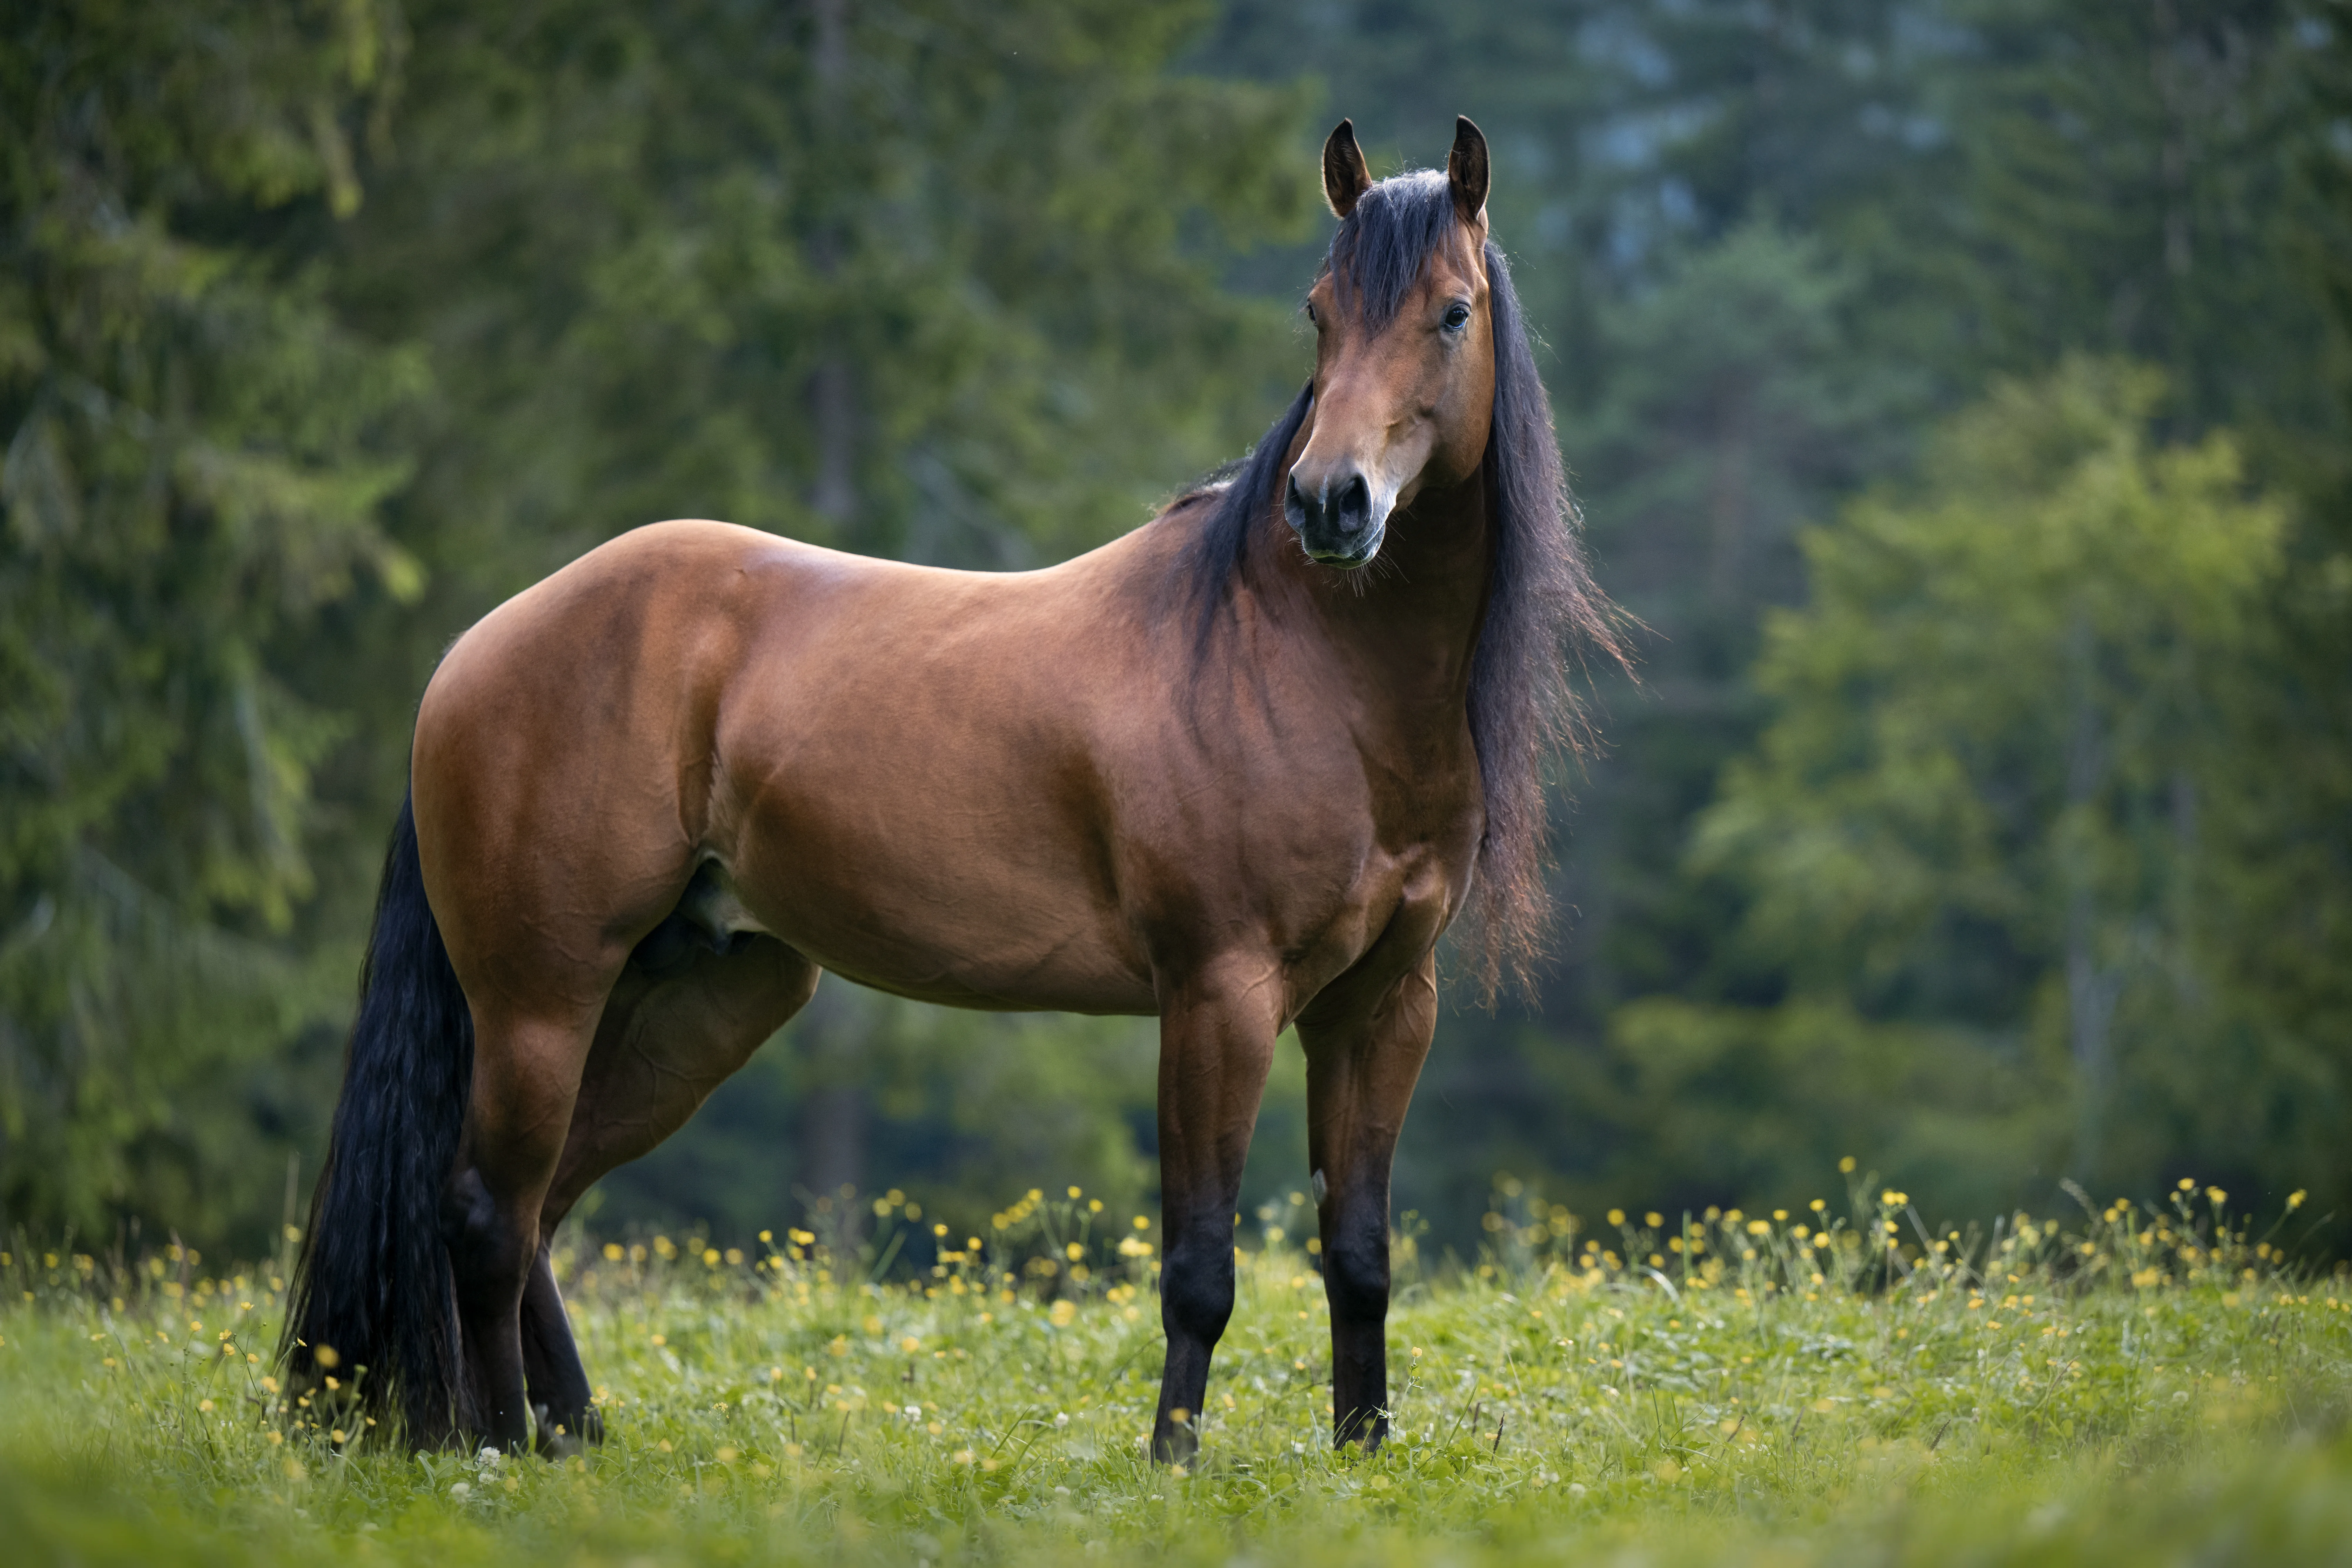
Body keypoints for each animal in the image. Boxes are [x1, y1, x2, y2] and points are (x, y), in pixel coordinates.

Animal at [281, 114, 1621, 1463]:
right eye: (1319, 312)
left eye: (1451, 312)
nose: (1328, 501)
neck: (1297, 663)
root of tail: (477, 647)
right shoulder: (1218, 994)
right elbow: (1200, 1268)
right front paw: (1172, 1463)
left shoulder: (1382, 1006)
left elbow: (1359, 1257)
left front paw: (1361, 1458)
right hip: (540, 999)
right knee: (484, 1216)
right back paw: (503, 1454)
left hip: (696, 996)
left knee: (540, 1210)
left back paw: (576, 1438)